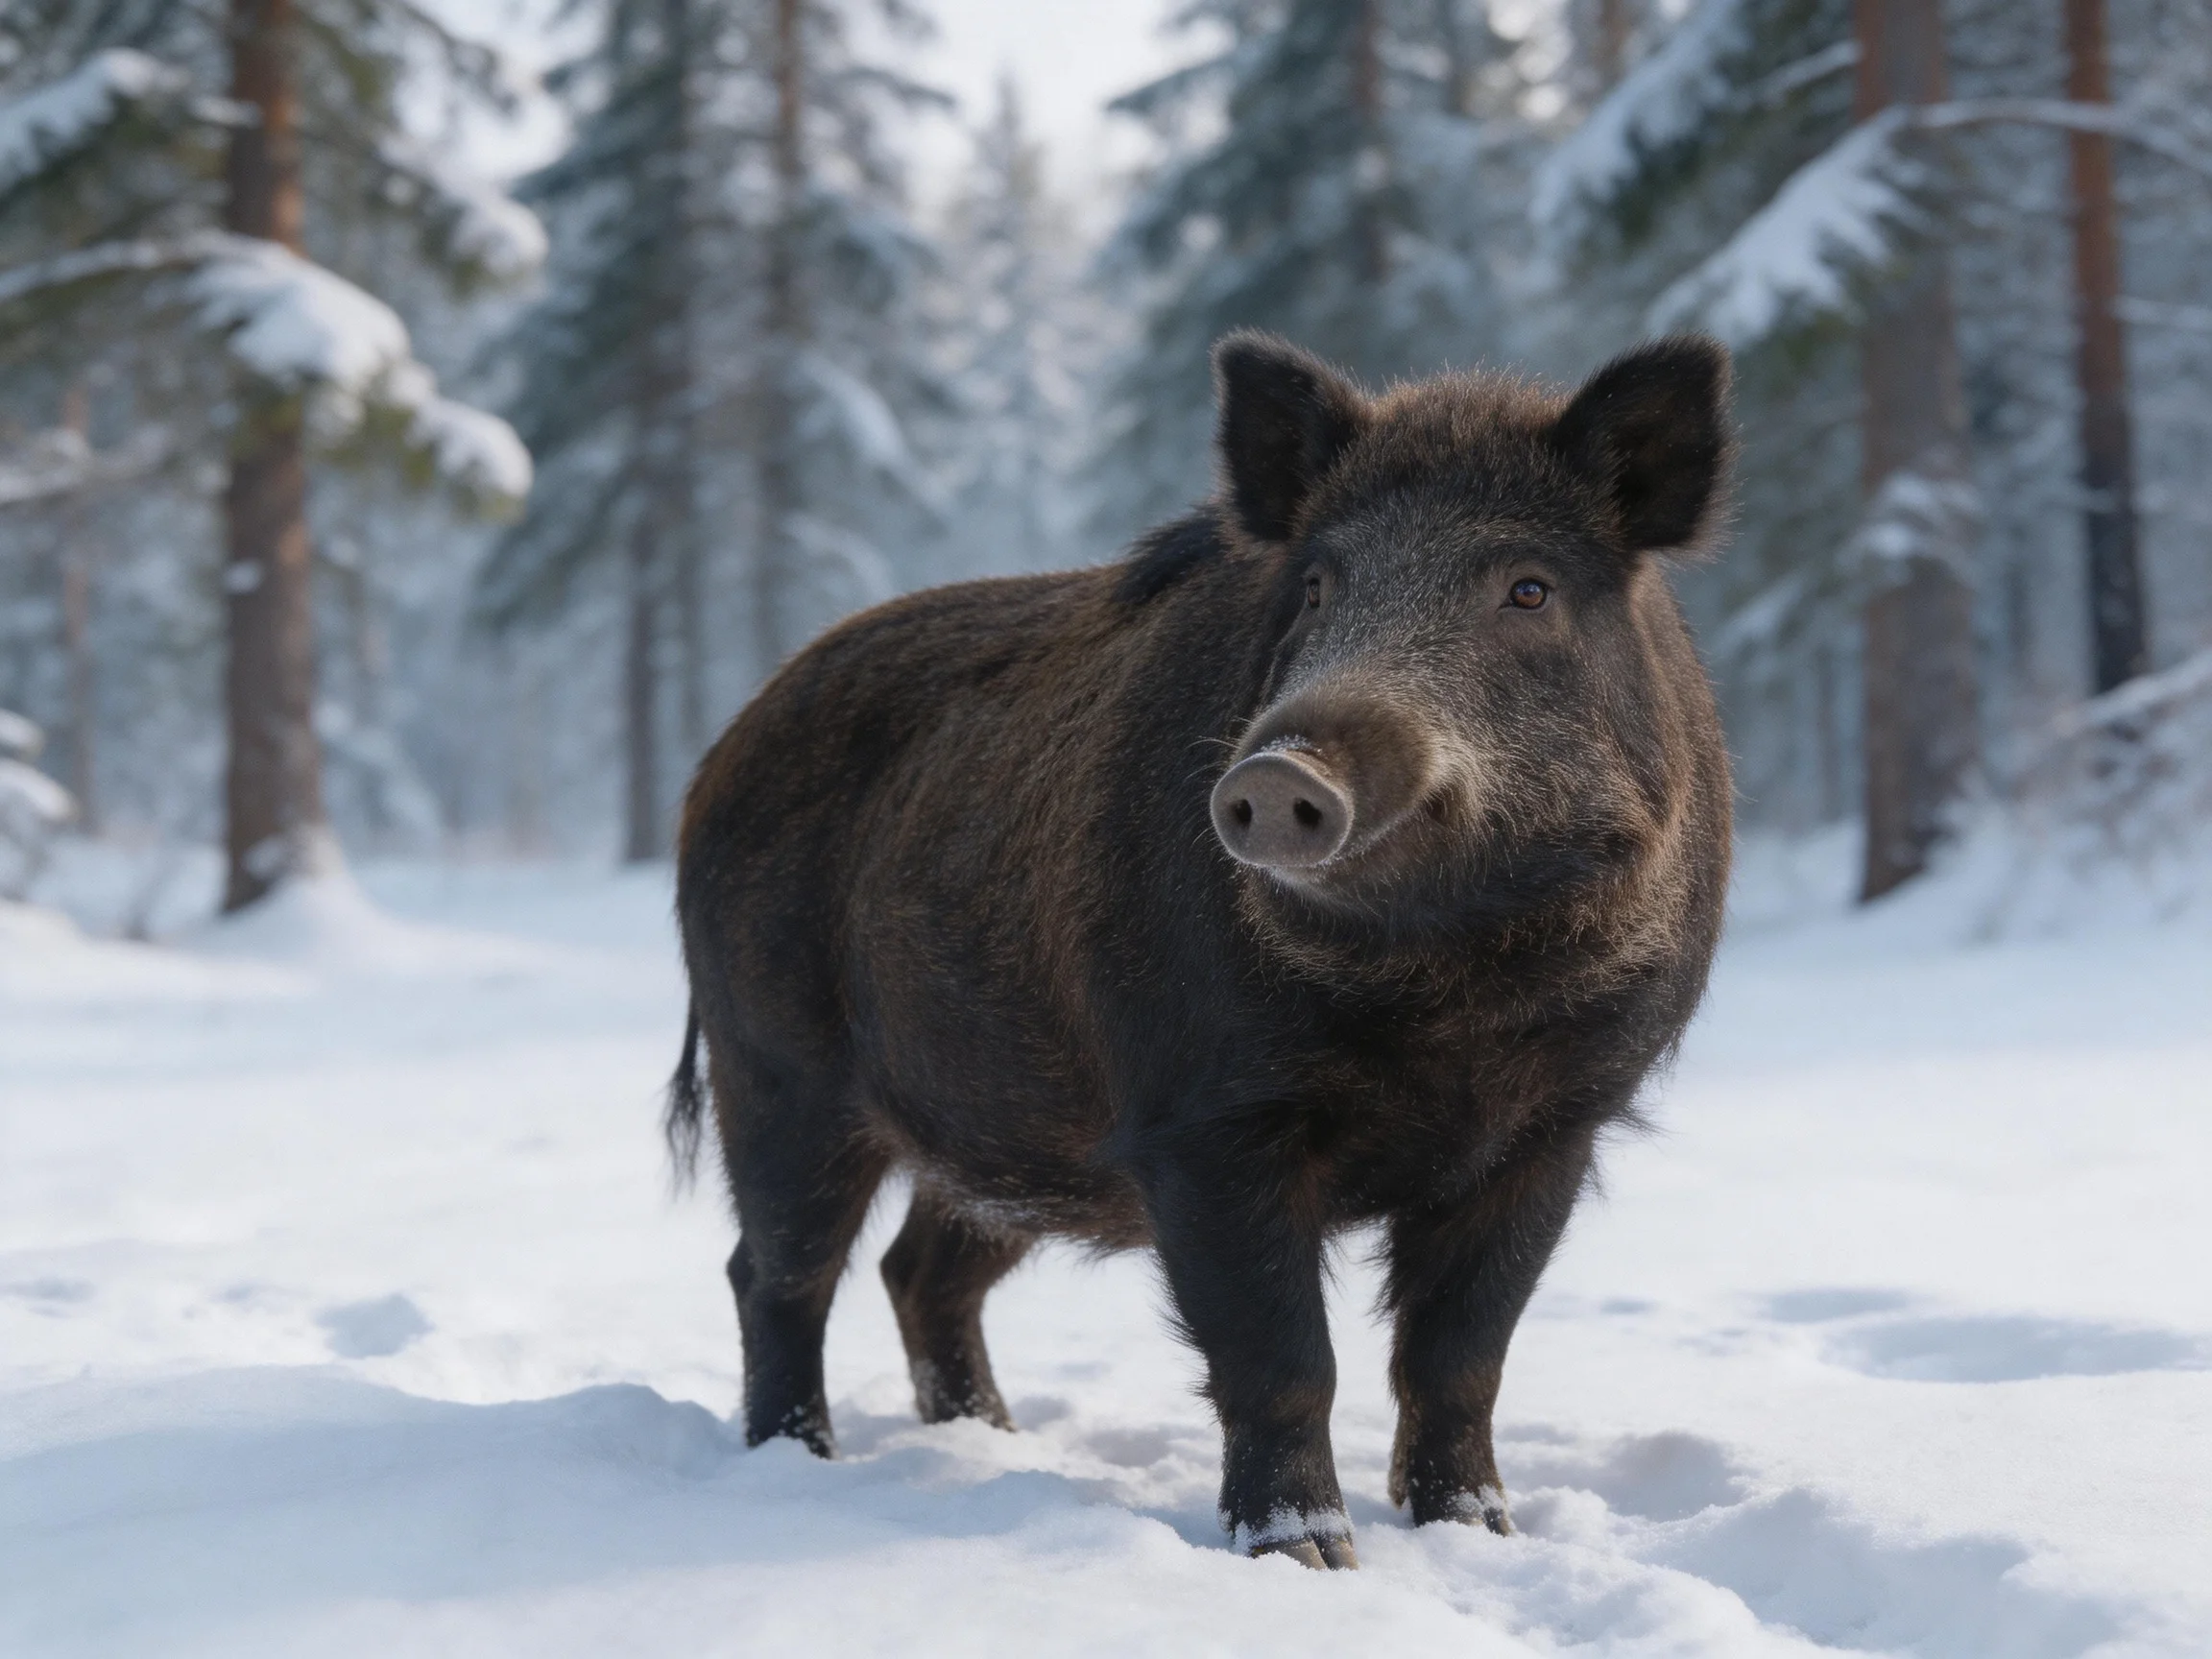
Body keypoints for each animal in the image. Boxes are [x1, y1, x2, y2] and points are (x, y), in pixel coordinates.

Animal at [665, 331, 1735, 1569]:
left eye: (1528, 588)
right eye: (1317, 585)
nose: (1276, 773)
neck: (1446, 989)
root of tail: (721, 753)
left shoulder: (1556, 1125)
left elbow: (1460, 1356)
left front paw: (1481, 1536)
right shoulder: (1201, 1119)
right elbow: (1282, 1358)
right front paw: (1309, 1561)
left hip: (1011, 1133)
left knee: (917, 1271)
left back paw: (994, 1441)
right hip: (773, 1060)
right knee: (778, 1270)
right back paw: (801, 1463)